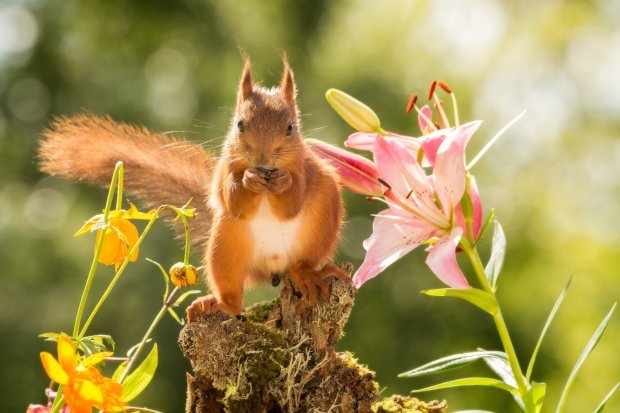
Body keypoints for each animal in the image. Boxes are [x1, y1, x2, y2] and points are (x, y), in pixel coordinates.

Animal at [38, 58, 348, 320]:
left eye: (290, 128)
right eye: (239, 124)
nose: (262, 158)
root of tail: (273, 268)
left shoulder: (305, 172)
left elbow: (292, 201)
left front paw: (283, 181)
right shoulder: (224, 171)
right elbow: (233, 198)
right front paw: (248, 180)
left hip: (317, 234)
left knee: (302, 264)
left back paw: (308, 276)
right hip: (225, 247)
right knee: (233, 296)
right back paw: (219, 303)